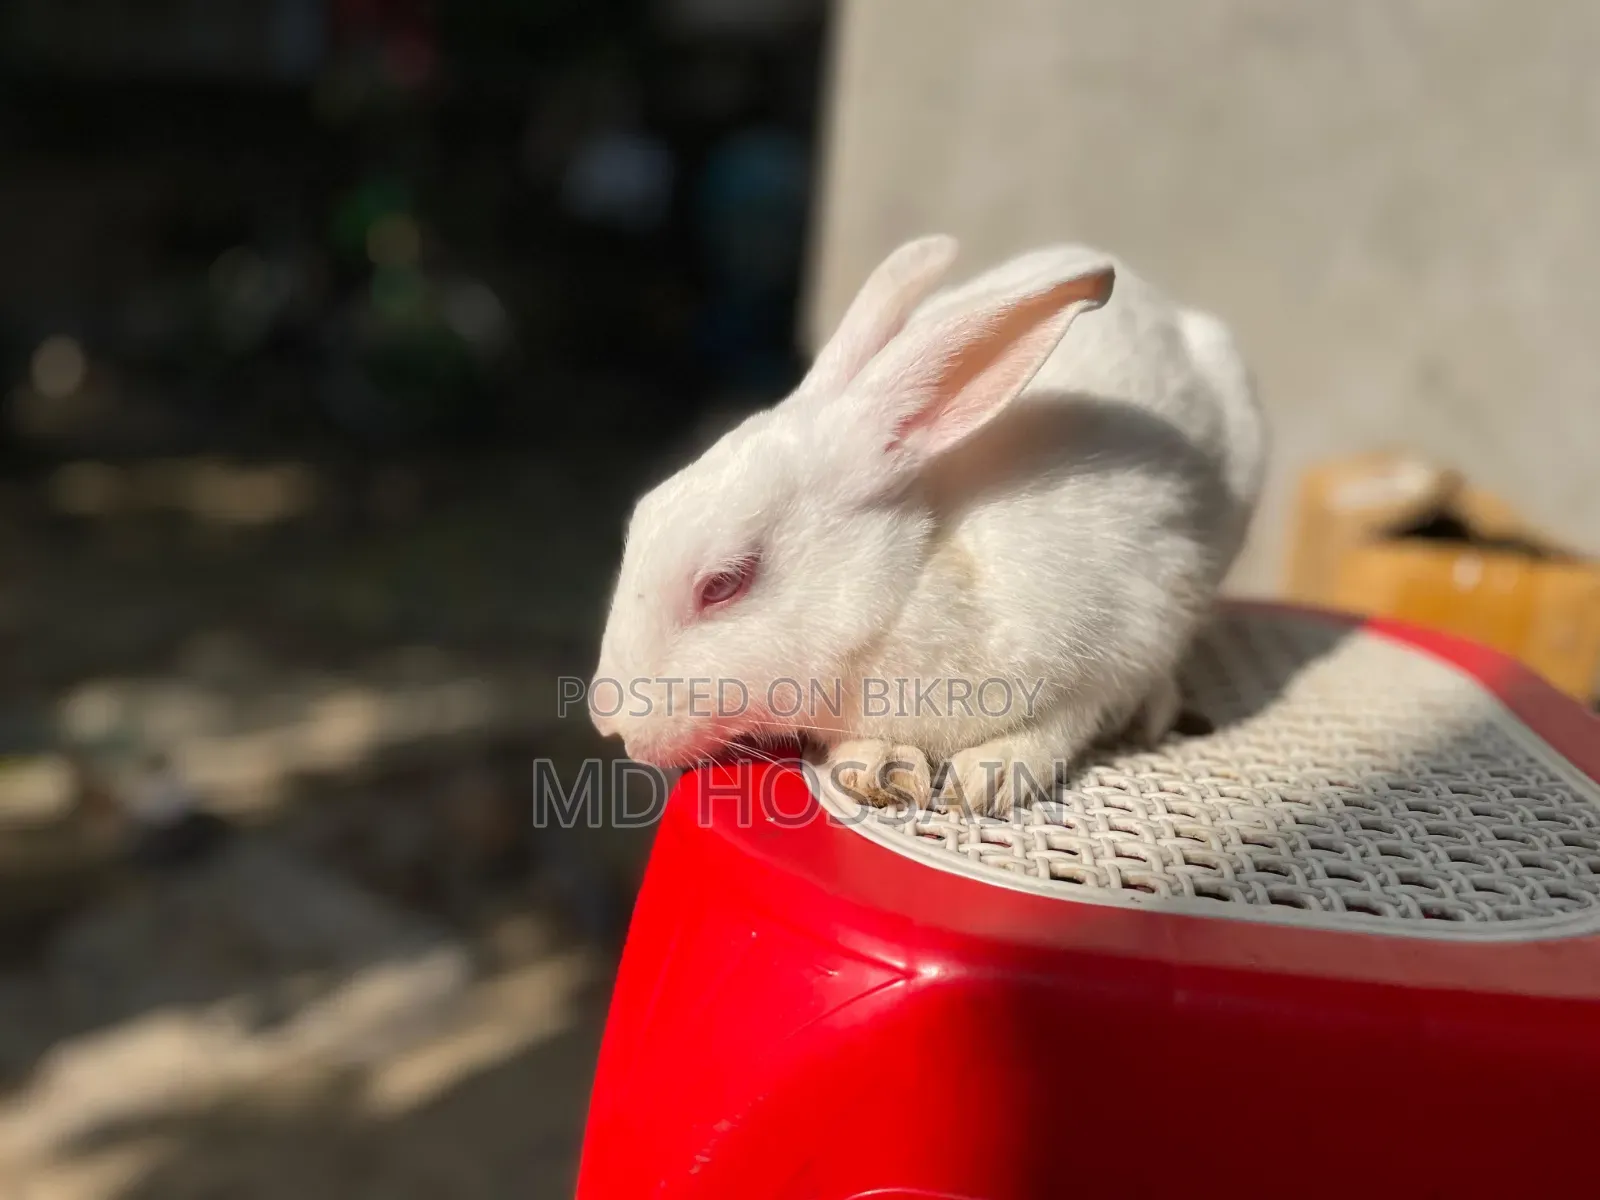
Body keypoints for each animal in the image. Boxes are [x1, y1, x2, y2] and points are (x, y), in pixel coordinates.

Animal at [589, 234, 1267, 815]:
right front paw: (882, 769)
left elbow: (1064, 723)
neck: (909, 586)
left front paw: (987, 777)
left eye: (723, 584)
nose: (606, 719)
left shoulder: (1131, 630)